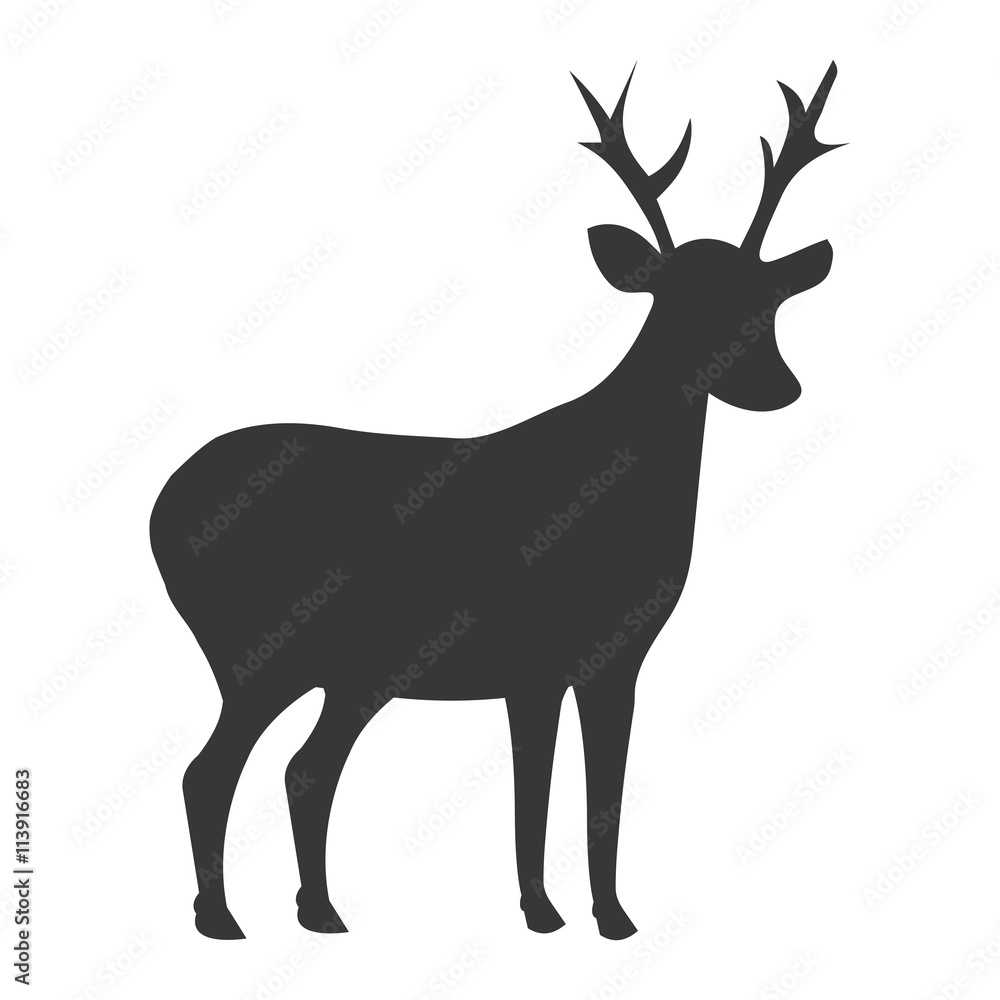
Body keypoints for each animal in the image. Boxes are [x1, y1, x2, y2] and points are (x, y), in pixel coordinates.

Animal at [150, 62, 843, 941]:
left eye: (771, 300)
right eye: (679, 301)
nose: (777, 386)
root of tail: (160, 509)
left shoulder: (614, 656)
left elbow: (601, 789)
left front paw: (608, 916)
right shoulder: (536, 654)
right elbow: (536, 789)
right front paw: (551, 914)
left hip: (345, 668)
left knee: (305, 766)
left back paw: (319, 911)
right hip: (256, 649)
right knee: (211, 769)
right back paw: (221, 918)